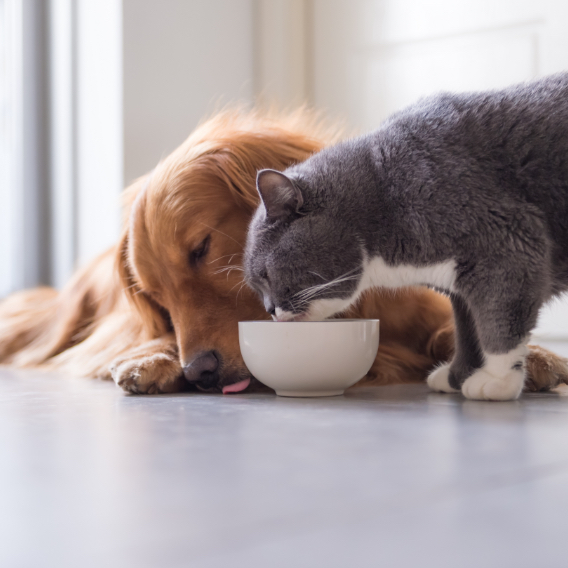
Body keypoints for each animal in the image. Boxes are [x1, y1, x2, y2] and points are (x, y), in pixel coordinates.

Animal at [243, 73, 568, 402]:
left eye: (266, 274)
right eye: (256, 286)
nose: (270, 309)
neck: (381, 194)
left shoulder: (508, 243)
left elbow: (498, 320)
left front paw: (498, 380)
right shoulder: (460, 285)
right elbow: (467, 330)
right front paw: (457, 375)